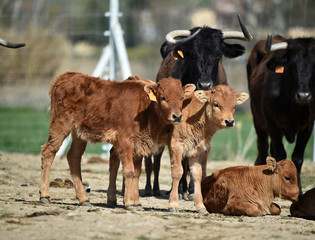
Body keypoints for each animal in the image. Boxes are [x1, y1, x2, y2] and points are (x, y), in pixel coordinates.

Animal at [39, 71, 195, 208]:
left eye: (181, 98)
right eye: (162, 97)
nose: (177, 116)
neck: (145, 107)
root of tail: (65, 77)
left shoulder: (138, 145)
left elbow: (137, 173)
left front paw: (136, 202)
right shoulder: (125, 142)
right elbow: (129, 171)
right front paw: (130, 203)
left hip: (79, 133)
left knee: (73, 157)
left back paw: (83, 199)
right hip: (60, 125)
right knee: (49, 152)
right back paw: (45, 195)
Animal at [143, 15, 254, 199]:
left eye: (218, 54)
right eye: (193, 54)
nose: (205, 84)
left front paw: (193, 189)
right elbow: (182, 157)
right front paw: (181, 189)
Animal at [248, 33, 314, 192]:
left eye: (314, 64)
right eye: (291, 65)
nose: (304, 95)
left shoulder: (308, 126)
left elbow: (297, 157)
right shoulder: (273, 125)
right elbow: (280, 154)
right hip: (258, 122)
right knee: (263, 150)